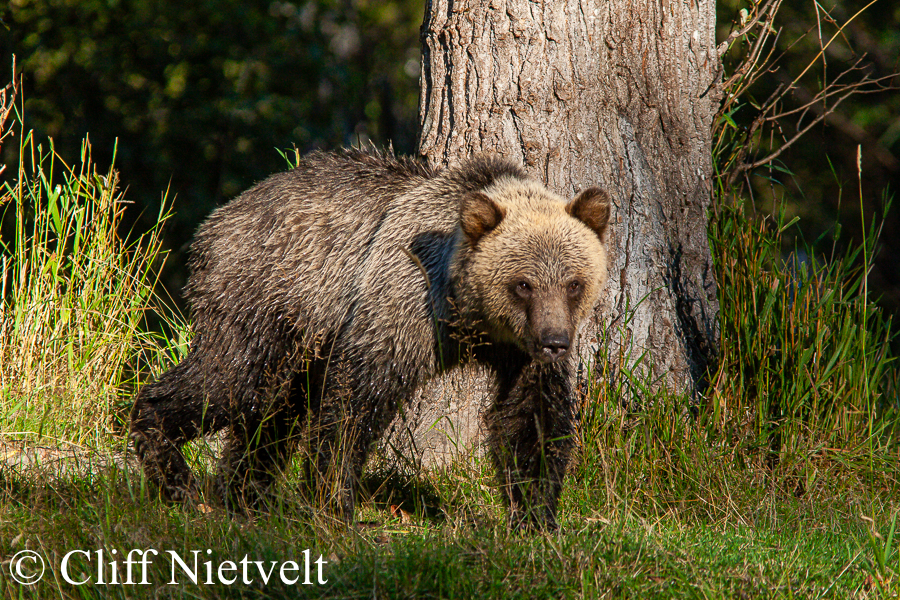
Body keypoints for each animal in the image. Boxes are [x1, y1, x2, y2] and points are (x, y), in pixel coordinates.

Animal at [132, 148, 612, 528]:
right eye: (524, 284)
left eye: (573, 283)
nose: (555, 341)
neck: (469, 314)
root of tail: (220, 217)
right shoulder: (402, 304)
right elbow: (355, 401)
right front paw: (334, 502)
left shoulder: (516, 351)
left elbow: (530, 418)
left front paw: (536, 515)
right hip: (266, 293)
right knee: (231, 379)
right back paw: (171, 468)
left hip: (301, 333)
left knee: (272, 413)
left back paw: (246, 495)